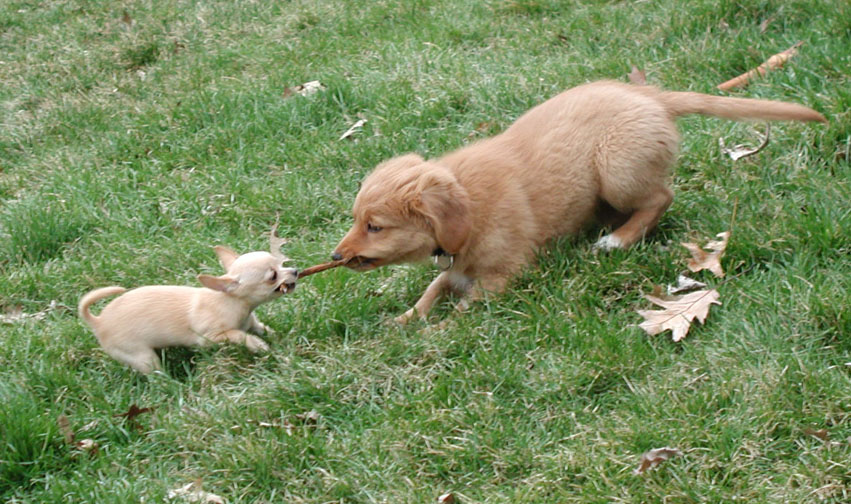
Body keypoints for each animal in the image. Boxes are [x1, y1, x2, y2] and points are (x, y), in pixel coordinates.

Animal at [79, 245, 300, 374]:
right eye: (272, 276)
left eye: (281, 263)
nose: (296, 270)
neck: (233, 303)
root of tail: (98, 321)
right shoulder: (210, 337)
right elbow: (238, 335)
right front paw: (257, 345)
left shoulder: (251, 322)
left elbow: (261, 329)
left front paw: (274, 338)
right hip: (141, 356)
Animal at [332, 79, 824, 322]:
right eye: (357, 220)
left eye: (375, 226)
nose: (335, 256)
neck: (470, 204)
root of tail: (651, 95)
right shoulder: (457, 269)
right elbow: (431, 291)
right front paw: (404, 321)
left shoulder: (504, 276)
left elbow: (466, 309)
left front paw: (441, 332)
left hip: (617, 170)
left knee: (661, 198)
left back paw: (616, 240)